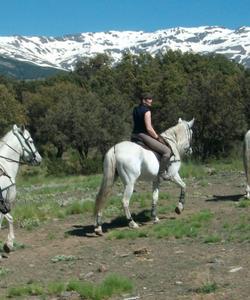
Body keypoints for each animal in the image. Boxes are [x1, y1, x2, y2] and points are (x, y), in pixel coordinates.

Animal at [0, 124, 41, 253]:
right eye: (30, 141)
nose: (39, 159)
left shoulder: (3, 205)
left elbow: (9, 218)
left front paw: (8, 244)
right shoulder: (6, 201)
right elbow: (7, 219)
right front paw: (9, 244)